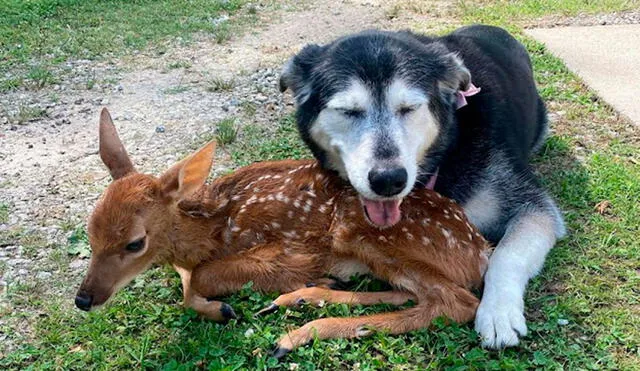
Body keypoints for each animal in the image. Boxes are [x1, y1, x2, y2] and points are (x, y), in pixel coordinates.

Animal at [280, 25, 564, 348]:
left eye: (409, 108)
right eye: (348, 111)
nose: (388, 180)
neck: (448, 147)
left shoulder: (532, 206)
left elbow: (507, 254)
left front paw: (498, 312)